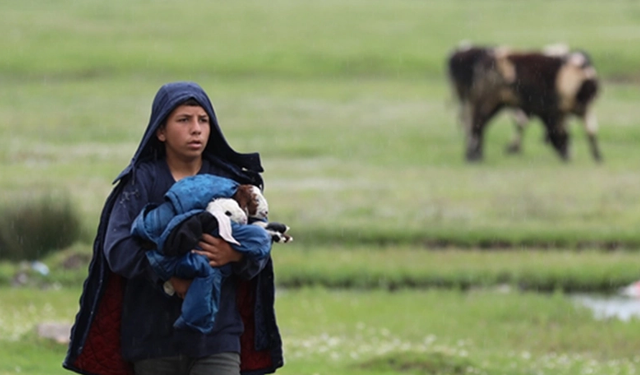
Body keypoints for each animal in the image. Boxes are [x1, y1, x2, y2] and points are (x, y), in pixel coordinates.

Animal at [444, 43, 600, 163]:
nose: (568, 156)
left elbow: (590, 130)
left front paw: (598, 156)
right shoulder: (553, 111)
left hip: (487, 104)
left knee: (475, 125)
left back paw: (474, 154)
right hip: (484, 103)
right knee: (476, 124)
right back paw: (474, 156)